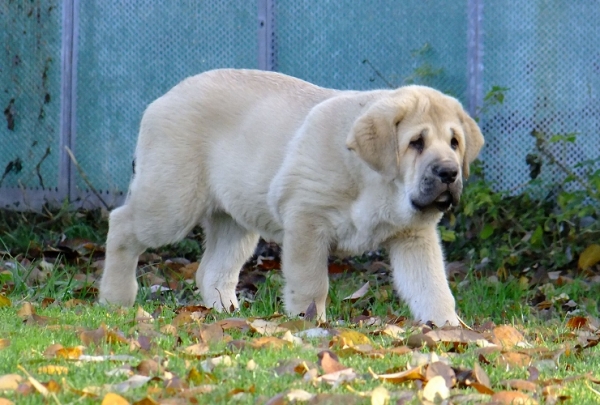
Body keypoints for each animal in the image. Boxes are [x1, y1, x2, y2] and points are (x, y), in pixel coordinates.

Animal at [98, 67, 482, 326]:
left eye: (454, 142)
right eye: (416, 143)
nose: (449, 173)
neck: (380, 184)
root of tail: (163, 98)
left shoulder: (413, 238)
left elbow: (433, 287)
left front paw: (451, 330)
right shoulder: (307, 221)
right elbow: (311, 283)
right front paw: (309, 325)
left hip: (235, 221)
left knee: (212, 271)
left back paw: (228, 315)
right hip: (170, 203)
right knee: (122, 225)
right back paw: (117, 297)